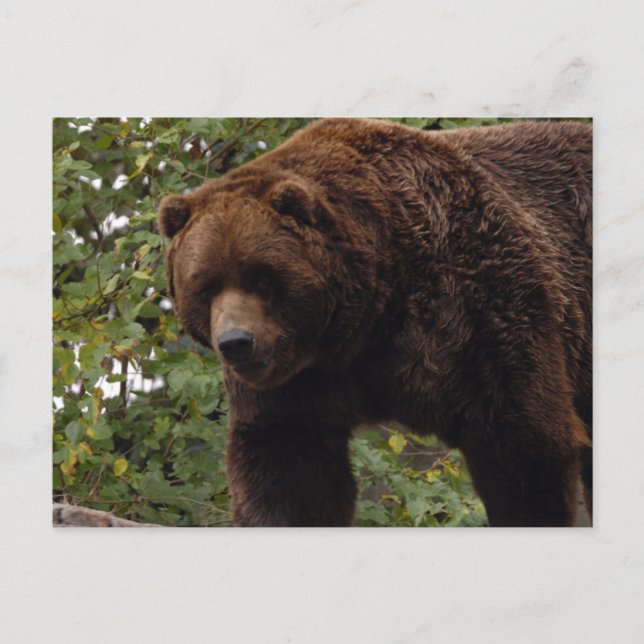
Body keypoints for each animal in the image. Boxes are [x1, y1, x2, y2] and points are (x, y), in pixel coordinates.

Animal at [158, 118, 592, 527]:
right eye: (206, 286)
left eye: (261, 279)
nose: (236, 342)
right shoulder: (298, 382)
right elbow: (287, 465)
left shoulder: (481, 304)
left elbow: (522, 438)